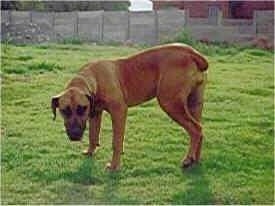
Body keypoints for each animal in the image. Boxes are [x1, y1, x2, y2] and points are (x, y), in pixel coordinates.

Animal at [51, 43, 209, 171]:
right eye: (64, 111)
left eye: (81, 109)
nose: (75, 135)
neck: (94, 77)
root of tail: (192, 53)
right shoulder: (95, 113)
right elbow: (93, 135)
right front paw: (90, 152)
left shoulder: (119, 111)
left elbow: (116, 142)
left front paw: (114, 166)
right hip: (194, 104)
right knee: (200, 130)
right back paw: (196, 160)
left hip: (170, 103)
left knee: (195, 129)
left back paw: (188, 159)